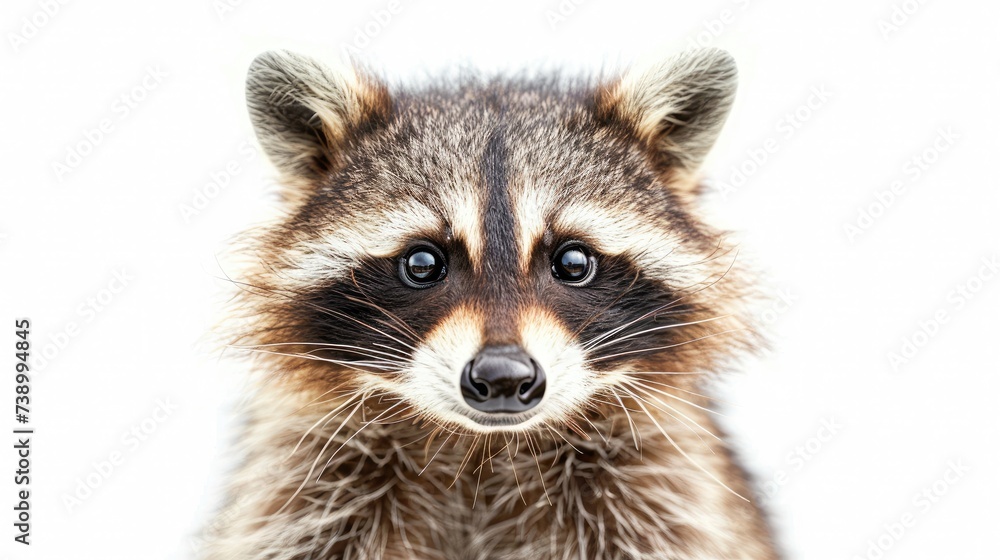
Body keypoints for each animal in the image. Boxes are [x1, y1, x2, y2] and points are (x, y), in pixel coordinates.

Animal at [202, 48, 779, 560]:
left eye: (573, 261)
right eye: (422, 263)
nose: (503, 376)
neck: (483, 451)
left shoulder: (661, 487)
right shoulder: (303, 480)